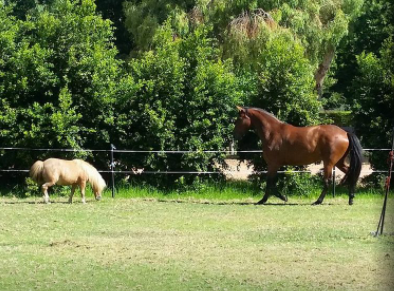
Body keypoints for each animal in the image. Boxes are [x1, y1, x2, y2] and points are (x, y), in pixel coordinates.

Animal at [234, 106, 364, 205]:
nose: (235, 135)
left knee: (327, 182)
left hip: (329, 163)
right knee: (351, 174)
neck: (273, 133)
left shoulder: (273, 164)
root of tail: (345, 133)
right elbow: (270, 182)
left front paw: (279, 198)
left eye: (238, 120)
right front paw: (264, 200)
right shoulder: (273, 165)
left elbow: (270, 182)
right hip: (339, 162)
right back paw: (351, 198)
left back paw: (318, 201)